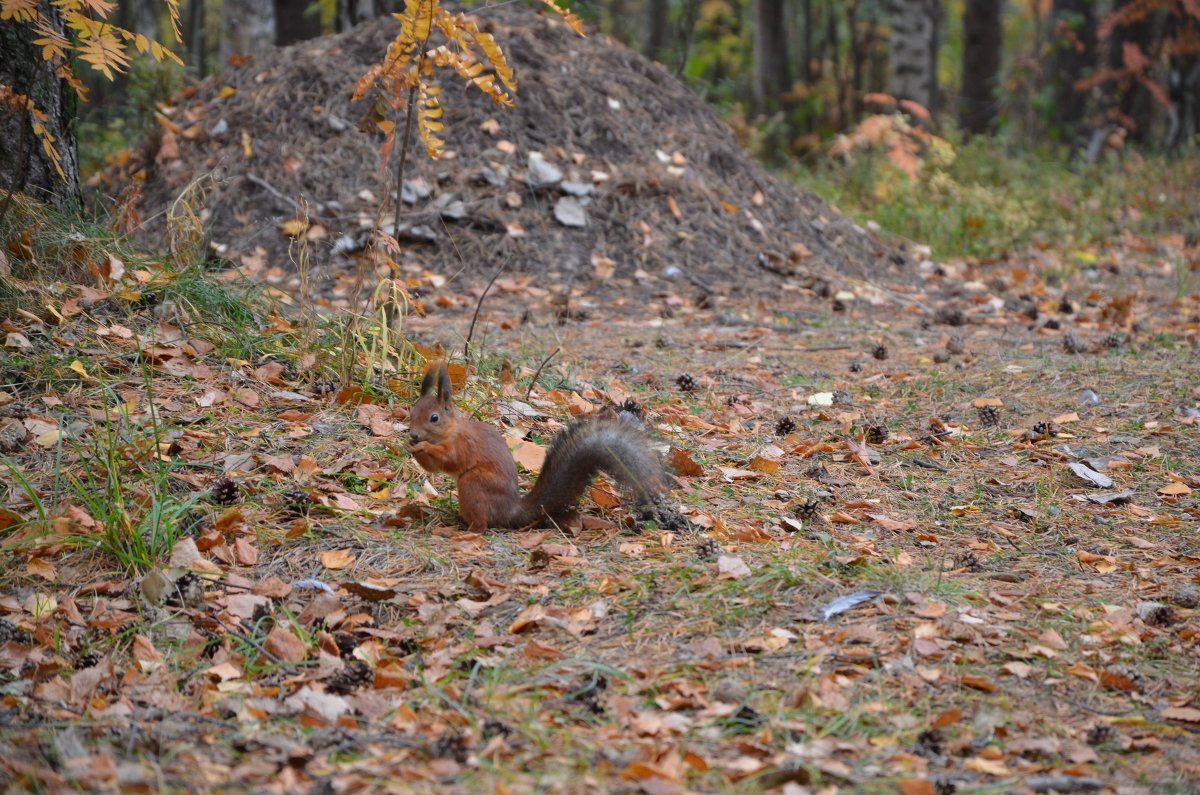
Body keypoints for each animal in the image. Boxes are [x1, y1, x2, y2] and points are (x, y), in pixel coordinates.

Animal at [403, 365, 667, 533]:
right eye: (413, 412)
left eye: (434, 418)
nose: (414, 434)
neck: (451, 431)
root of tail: (511, 511)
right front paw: (410, 446)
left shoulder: (463, 445)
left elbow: (451, 461)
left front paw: (422, 445)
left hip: (474, 482)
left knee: (480, 525)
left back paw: (460, 531)